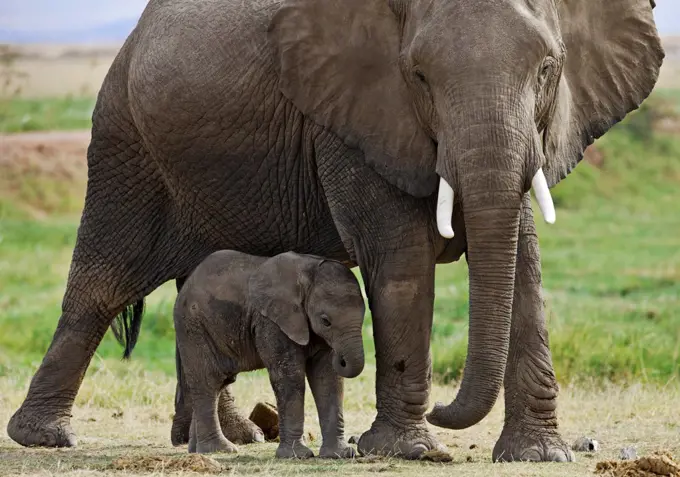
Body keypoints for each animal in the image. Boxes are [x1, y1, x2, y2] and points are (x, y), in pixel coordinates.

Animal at [175, 249, 366, 458]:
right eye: (326, 321)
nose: (340, 358)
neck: (308, 273)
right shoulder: (272, 322)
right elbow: (290, 377)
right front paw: (296, 456)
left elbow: (327, 379)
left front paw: (340, 454)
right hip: (193, 329)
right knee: (208, 382)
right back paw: (219, 449)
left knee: (218, 383)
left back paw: (197, 451)